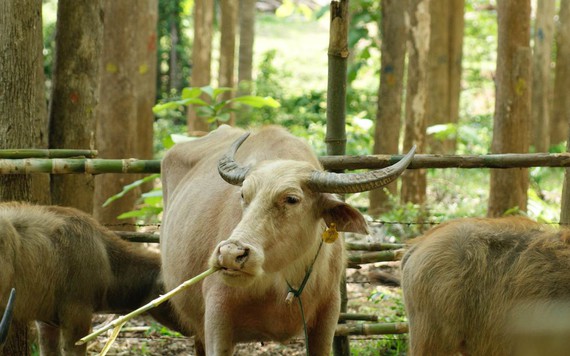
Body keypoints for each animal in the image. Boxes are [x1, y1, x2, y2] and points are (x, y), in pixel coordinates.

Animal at [160, 124, 412, 354]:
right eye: (243, 195)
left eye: (291, 199)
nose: (230, 254)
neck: (283, 279)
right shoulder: (217, 320)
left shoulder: (328, 316)